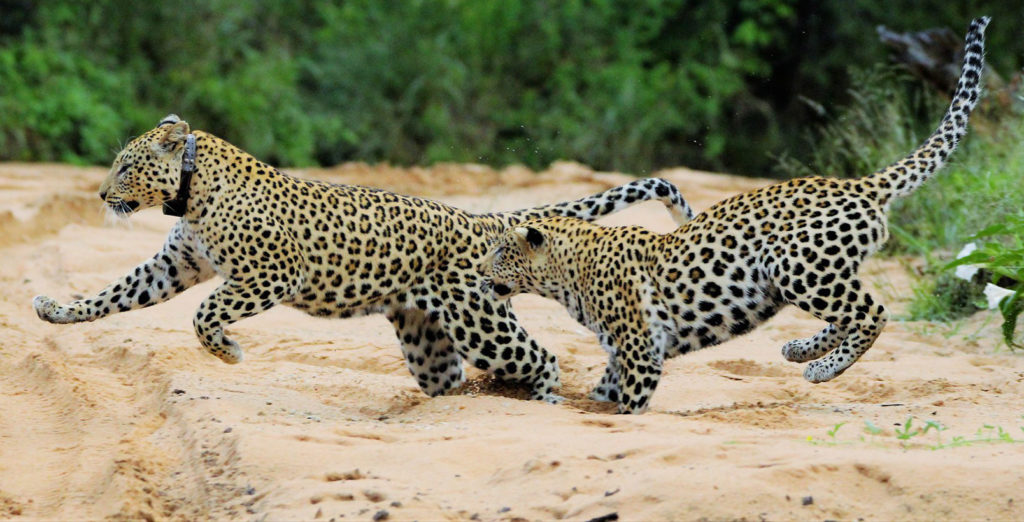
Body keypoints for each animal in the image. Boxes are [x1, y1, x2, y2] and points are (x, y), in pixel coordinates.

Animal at [32, 116, 696, 401]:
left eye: (124, 166)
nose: (101, 194)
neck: (191, 192)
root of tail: (481, 219)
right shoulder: (176, 265)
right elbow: (114, 294)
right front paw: (54, 310)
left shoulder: (271, 273)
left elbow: (204, 315)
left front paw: (229, 352)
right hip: (427, 337)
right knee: (452, 376)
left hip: (479, 321)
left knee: (543, 357)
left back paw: (543, 406)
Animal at [479, 18, 991, 411]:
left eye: (502, 252)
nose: (480, 274)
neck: (569, 272)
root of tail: (858, 183)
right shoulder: (623, 348)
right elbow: (605, 388)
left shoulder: (641, 348)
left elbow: (630, 401)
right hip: (814, 272)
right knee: (848, 313)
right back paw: (798, 350)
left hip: (797, 268)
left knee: (872, 312)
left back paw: (820, 369)